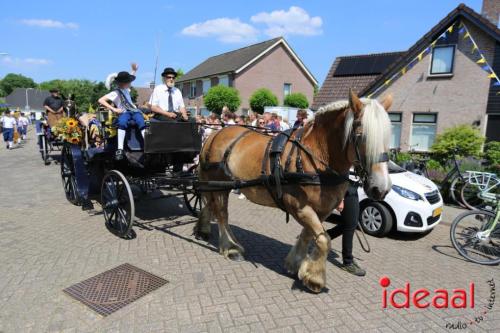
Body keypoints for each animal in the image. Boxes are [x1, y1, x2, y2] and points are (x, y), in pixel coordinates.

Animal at [195, 90, 394, 290]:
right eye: (361, 136)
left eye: (388, 138)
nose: (381, 188)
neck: (316, 157)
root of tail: (215, 133)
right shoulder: (300, 207)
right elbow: (324, 240)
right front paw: (315, 278)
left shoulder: (322, 210)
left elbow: (309, 236)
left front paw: (295, 264)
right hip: (219, 184)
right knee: (221, 213)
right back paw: (231, 247)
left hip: (221, 185)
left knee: (210, 204)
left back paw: (203, 230)